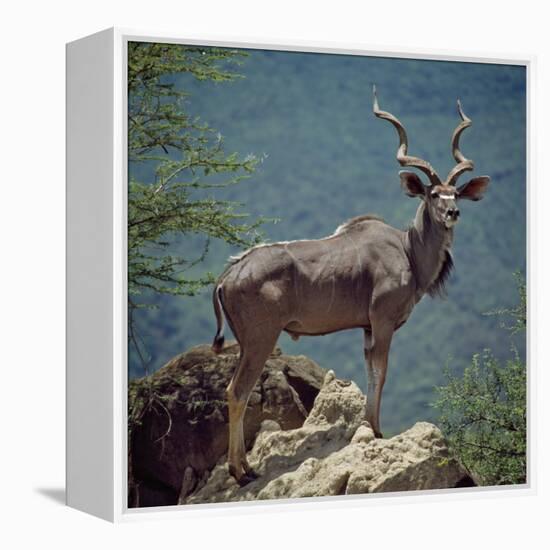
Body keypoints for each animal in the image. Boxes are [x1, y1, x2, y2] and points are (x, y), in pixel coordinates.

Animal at [211, 87, 492, 488]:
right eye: (433, 194)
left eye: (455, 193)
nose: (453, 213)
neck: (408, 249)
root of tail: (229, 274)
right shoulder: (383, 321)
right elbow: (382, 372)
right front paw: (375, 430)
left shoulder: (366, 328)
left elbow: (371, 372)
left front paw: (370, 427)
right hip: (262, 339)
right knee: (238, 391)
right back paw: (241, 471)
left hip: (246, 342)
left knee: (234, 389)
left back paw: (243, 467)